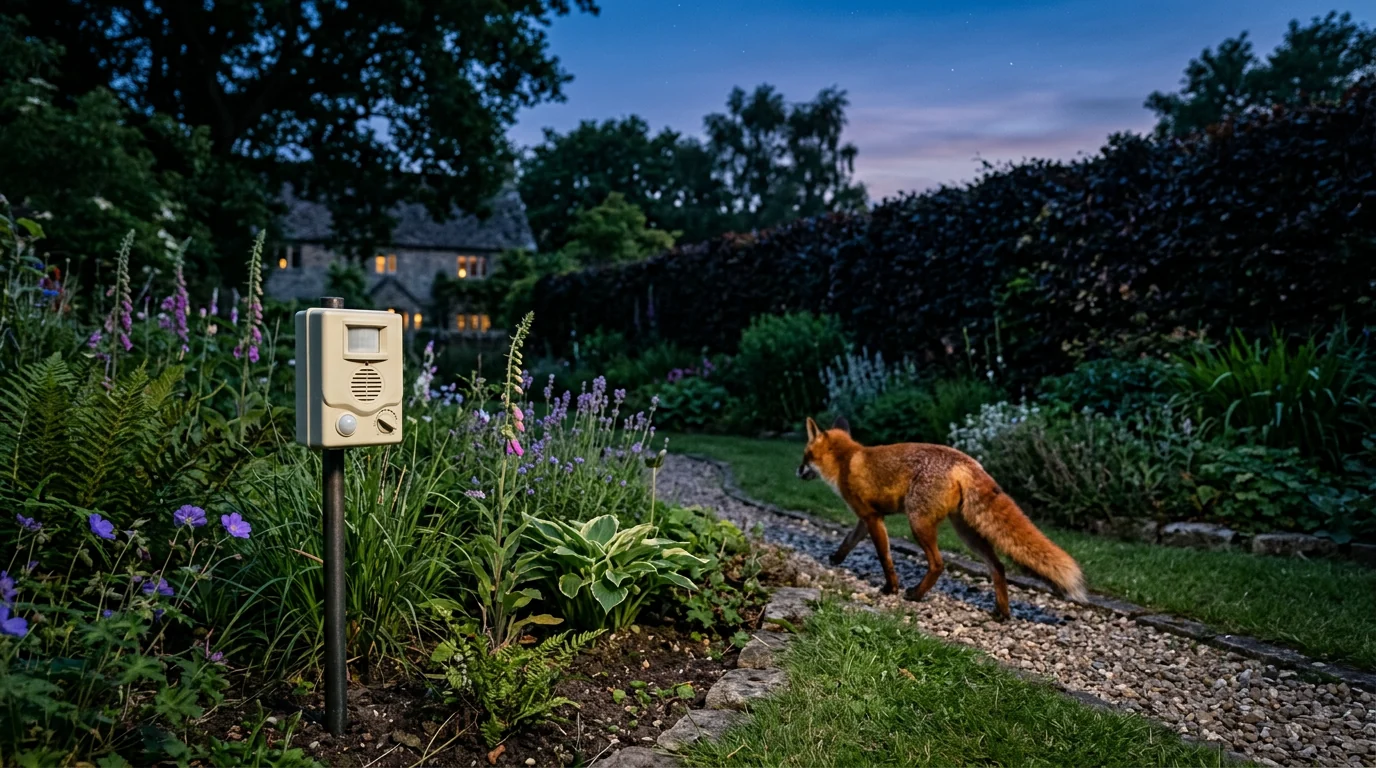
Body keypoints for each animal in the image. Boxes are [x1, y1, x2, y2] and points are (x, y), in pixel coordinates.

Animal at [797, 416, 1086, 619]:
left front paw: (891, 589)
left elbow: (885, 558)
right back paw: (1002, 612)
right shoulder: (866, 519)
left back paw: (915, 594)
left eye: (804, 456)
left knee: (938, 563)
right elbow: (848, 541)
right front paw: (835, 559)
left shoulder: (872, 517)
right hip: (967, 533)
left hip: (918, 522)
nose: (796, 471)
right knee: (998, 566)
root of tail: (968, 461)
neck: (846, 460)